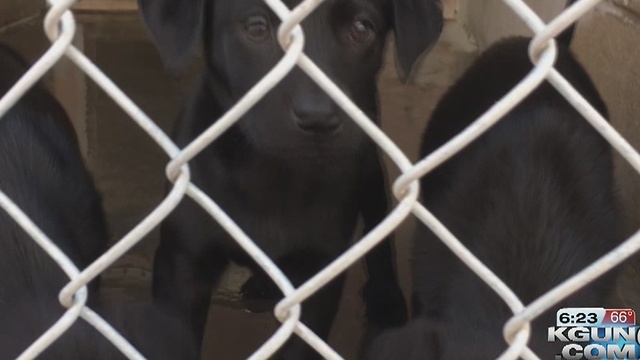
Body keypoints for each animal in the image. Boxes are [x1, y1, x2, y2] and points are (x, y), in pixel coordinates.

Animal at [138, 0, 442, 356]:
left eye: (362, 28)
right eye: (256, 27)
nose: (318, 119)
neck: (270, 173)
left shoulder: (319, 274)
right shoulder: (182, 263)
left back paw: (385, 295)